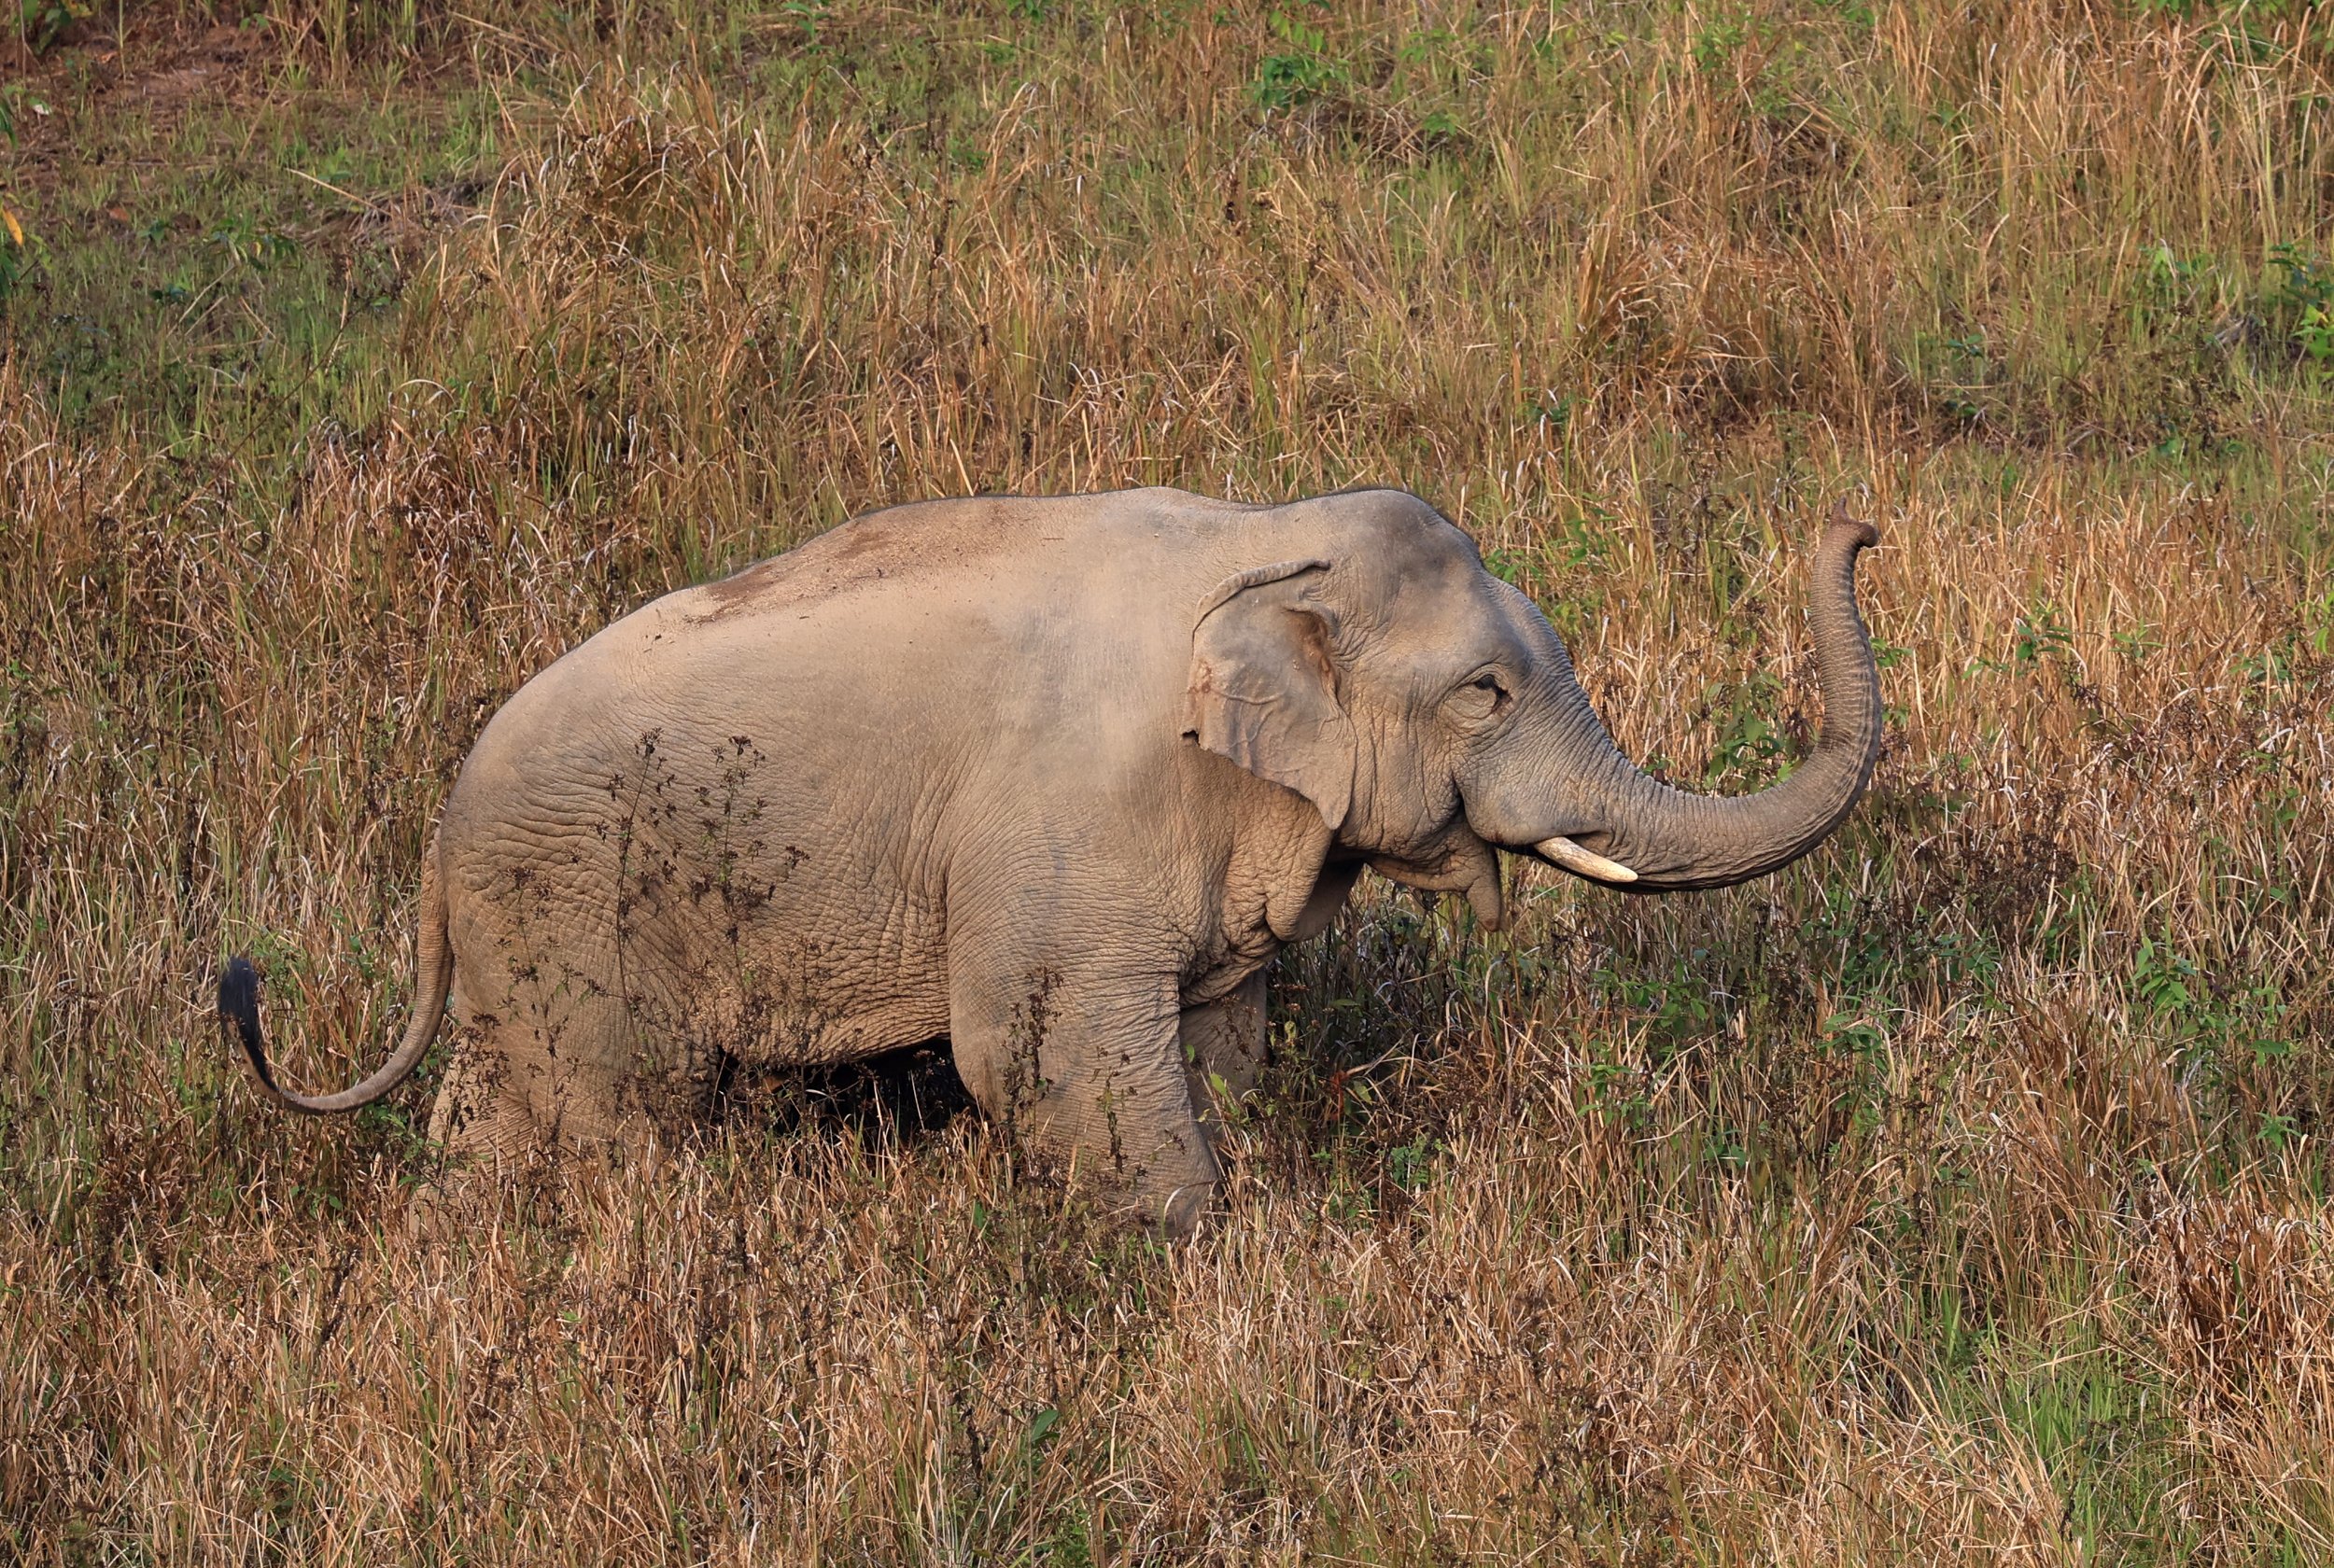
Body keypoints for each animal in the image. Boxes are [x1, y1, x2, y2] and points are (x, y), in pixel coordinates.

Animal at [220, 486, 1882, 1232]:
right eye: (1483, 691)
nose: (1858, 526)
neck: (1261, 542)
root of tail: (438, 837)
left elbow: (1217, 1036)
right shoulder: (1074, 824)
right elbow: (1040, 1053)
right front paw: (1194, 1254)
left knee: (498, 1121)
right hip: (579, 907)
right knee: (614, 1120)